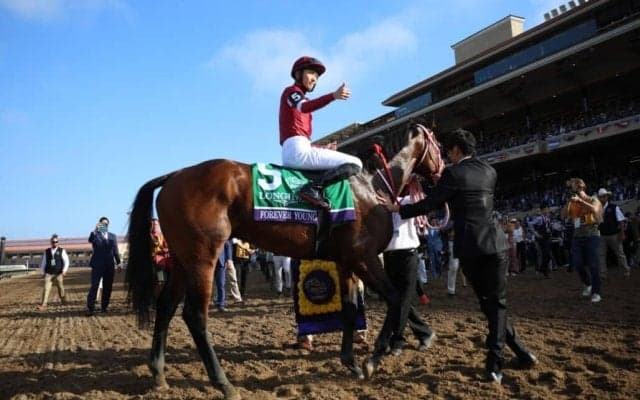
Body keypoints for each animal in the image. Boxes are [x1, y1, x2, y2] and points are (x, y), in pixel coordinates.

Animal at [125, 123, 444, 400]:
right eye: (438, 145)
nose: (440, 175)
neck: (371, 188)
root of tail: (175, 174)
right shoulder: (364, 258)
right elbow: (394, 298)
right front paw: (373, 359)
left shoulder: (346, 262)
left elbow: (351, 309)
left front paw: (351, 362)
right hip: (203, 257)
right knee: (194, 315)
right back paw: (223, 383)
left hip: (182, 261)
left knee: (165, 307)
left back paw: (159, 373)